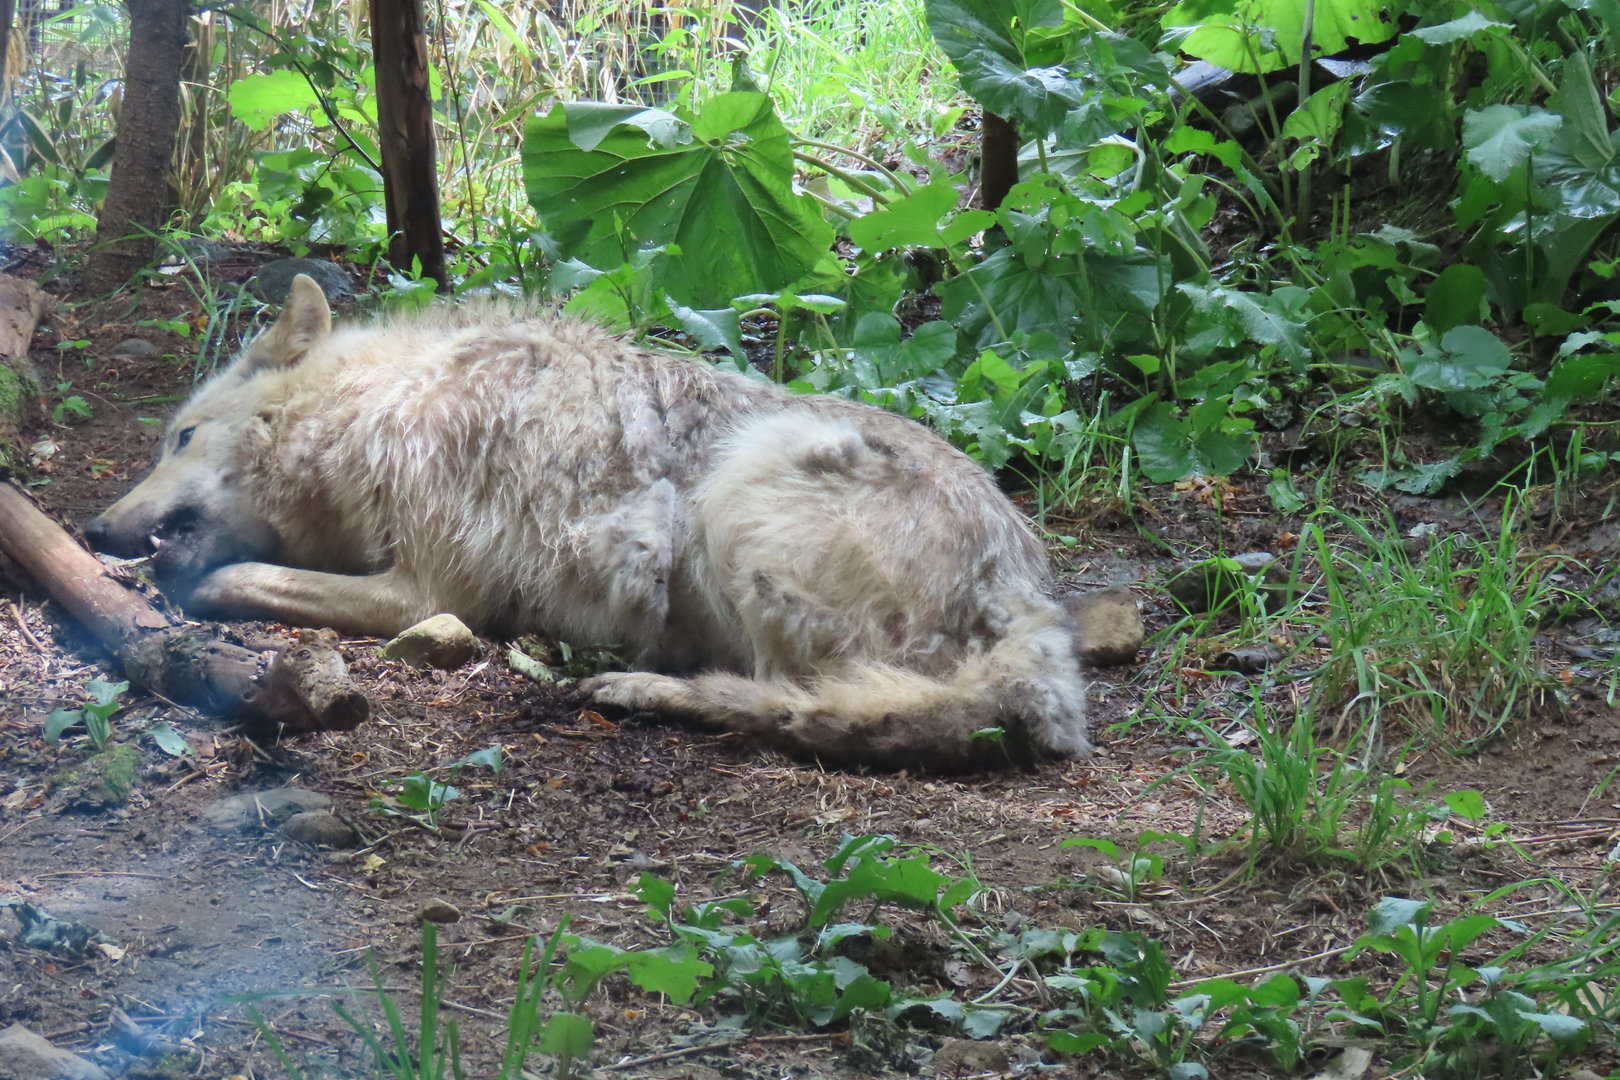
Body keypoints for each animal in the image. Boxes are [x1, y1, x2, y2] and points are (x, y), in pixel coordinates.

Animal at [86, 274, 1091, 768]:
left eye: (180, 437)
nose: (93, 531)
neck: (377, 411)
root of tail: (1032, 602)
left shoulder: (427, 592)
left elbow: (232, 577)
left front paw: (179, 589)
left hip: (742, 484)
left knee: (786, 700)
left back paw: (639, 688)